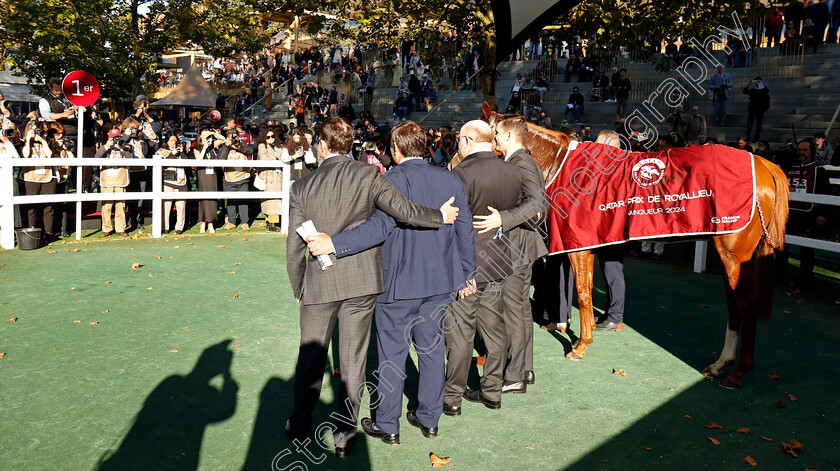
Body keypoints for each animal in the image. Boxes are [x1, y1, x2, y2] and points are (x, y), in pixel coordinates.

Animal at [462, 105, 792, 390]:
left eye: (482, 136)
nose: (456, 165)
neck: (559, 163)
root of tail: (764, 164)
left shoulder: (578, 247)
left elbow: (583, 294)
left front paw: (580, 346)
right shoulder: (586, 245)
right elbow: (584, 289)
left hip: (735, 254)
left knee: (746, 304)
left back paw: (737, 372)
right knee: (734, 306)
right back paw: (720, 364)